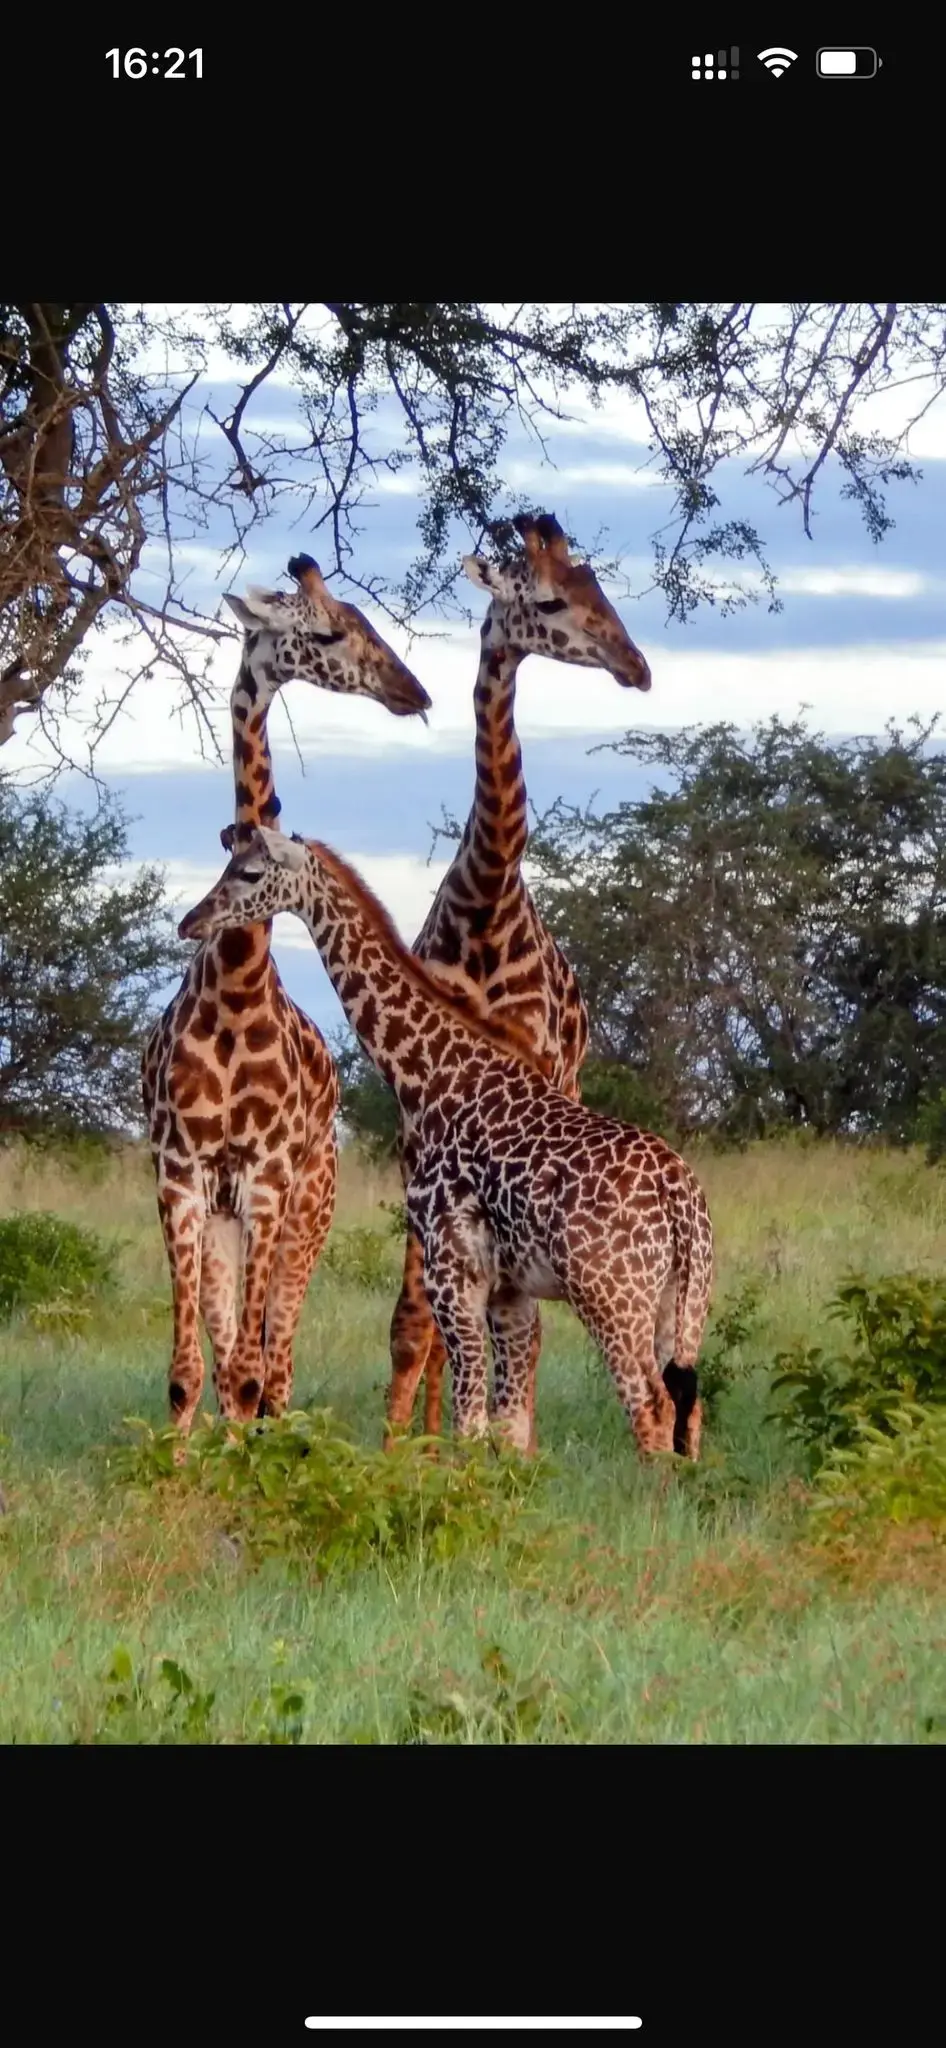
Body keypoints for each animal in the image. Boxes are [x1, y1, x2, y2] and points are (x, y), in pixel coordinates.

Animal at [142, 556, 431, 1432]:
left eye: (368, 621)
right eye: (330, 631)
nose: (410, 690)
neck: (237, 982)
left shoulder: (269, 1177)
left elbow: (247, 1374)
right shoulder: (180, 1172)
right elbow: (189, 1373)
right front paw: (176, 1461)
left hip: (311, 1206)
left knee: (276, 1364)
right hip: (227, 1215)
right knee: (235, 1352)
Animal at [178, 827, 714, 1460]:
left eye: (251, 873)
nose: (190, 921)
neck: (430, 1073)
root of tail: (682, 1201)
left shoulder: (453, 1273)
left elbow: (470, 1425)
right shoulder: (509, 1290)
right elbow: (507, 1432)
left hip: (611, 1299)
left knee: (652, 1411)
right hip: (681, 1304)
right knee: (689, 1410)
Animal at [389, 511, 653, 1449]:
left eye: (596, 587)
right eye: (545, 601)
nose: (635, 666)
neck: (487, 903)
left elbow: (515, 1322)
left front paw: (507, 1435)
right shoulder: (418, 1126)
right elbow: (415, 1319)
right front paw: (406, 1442)